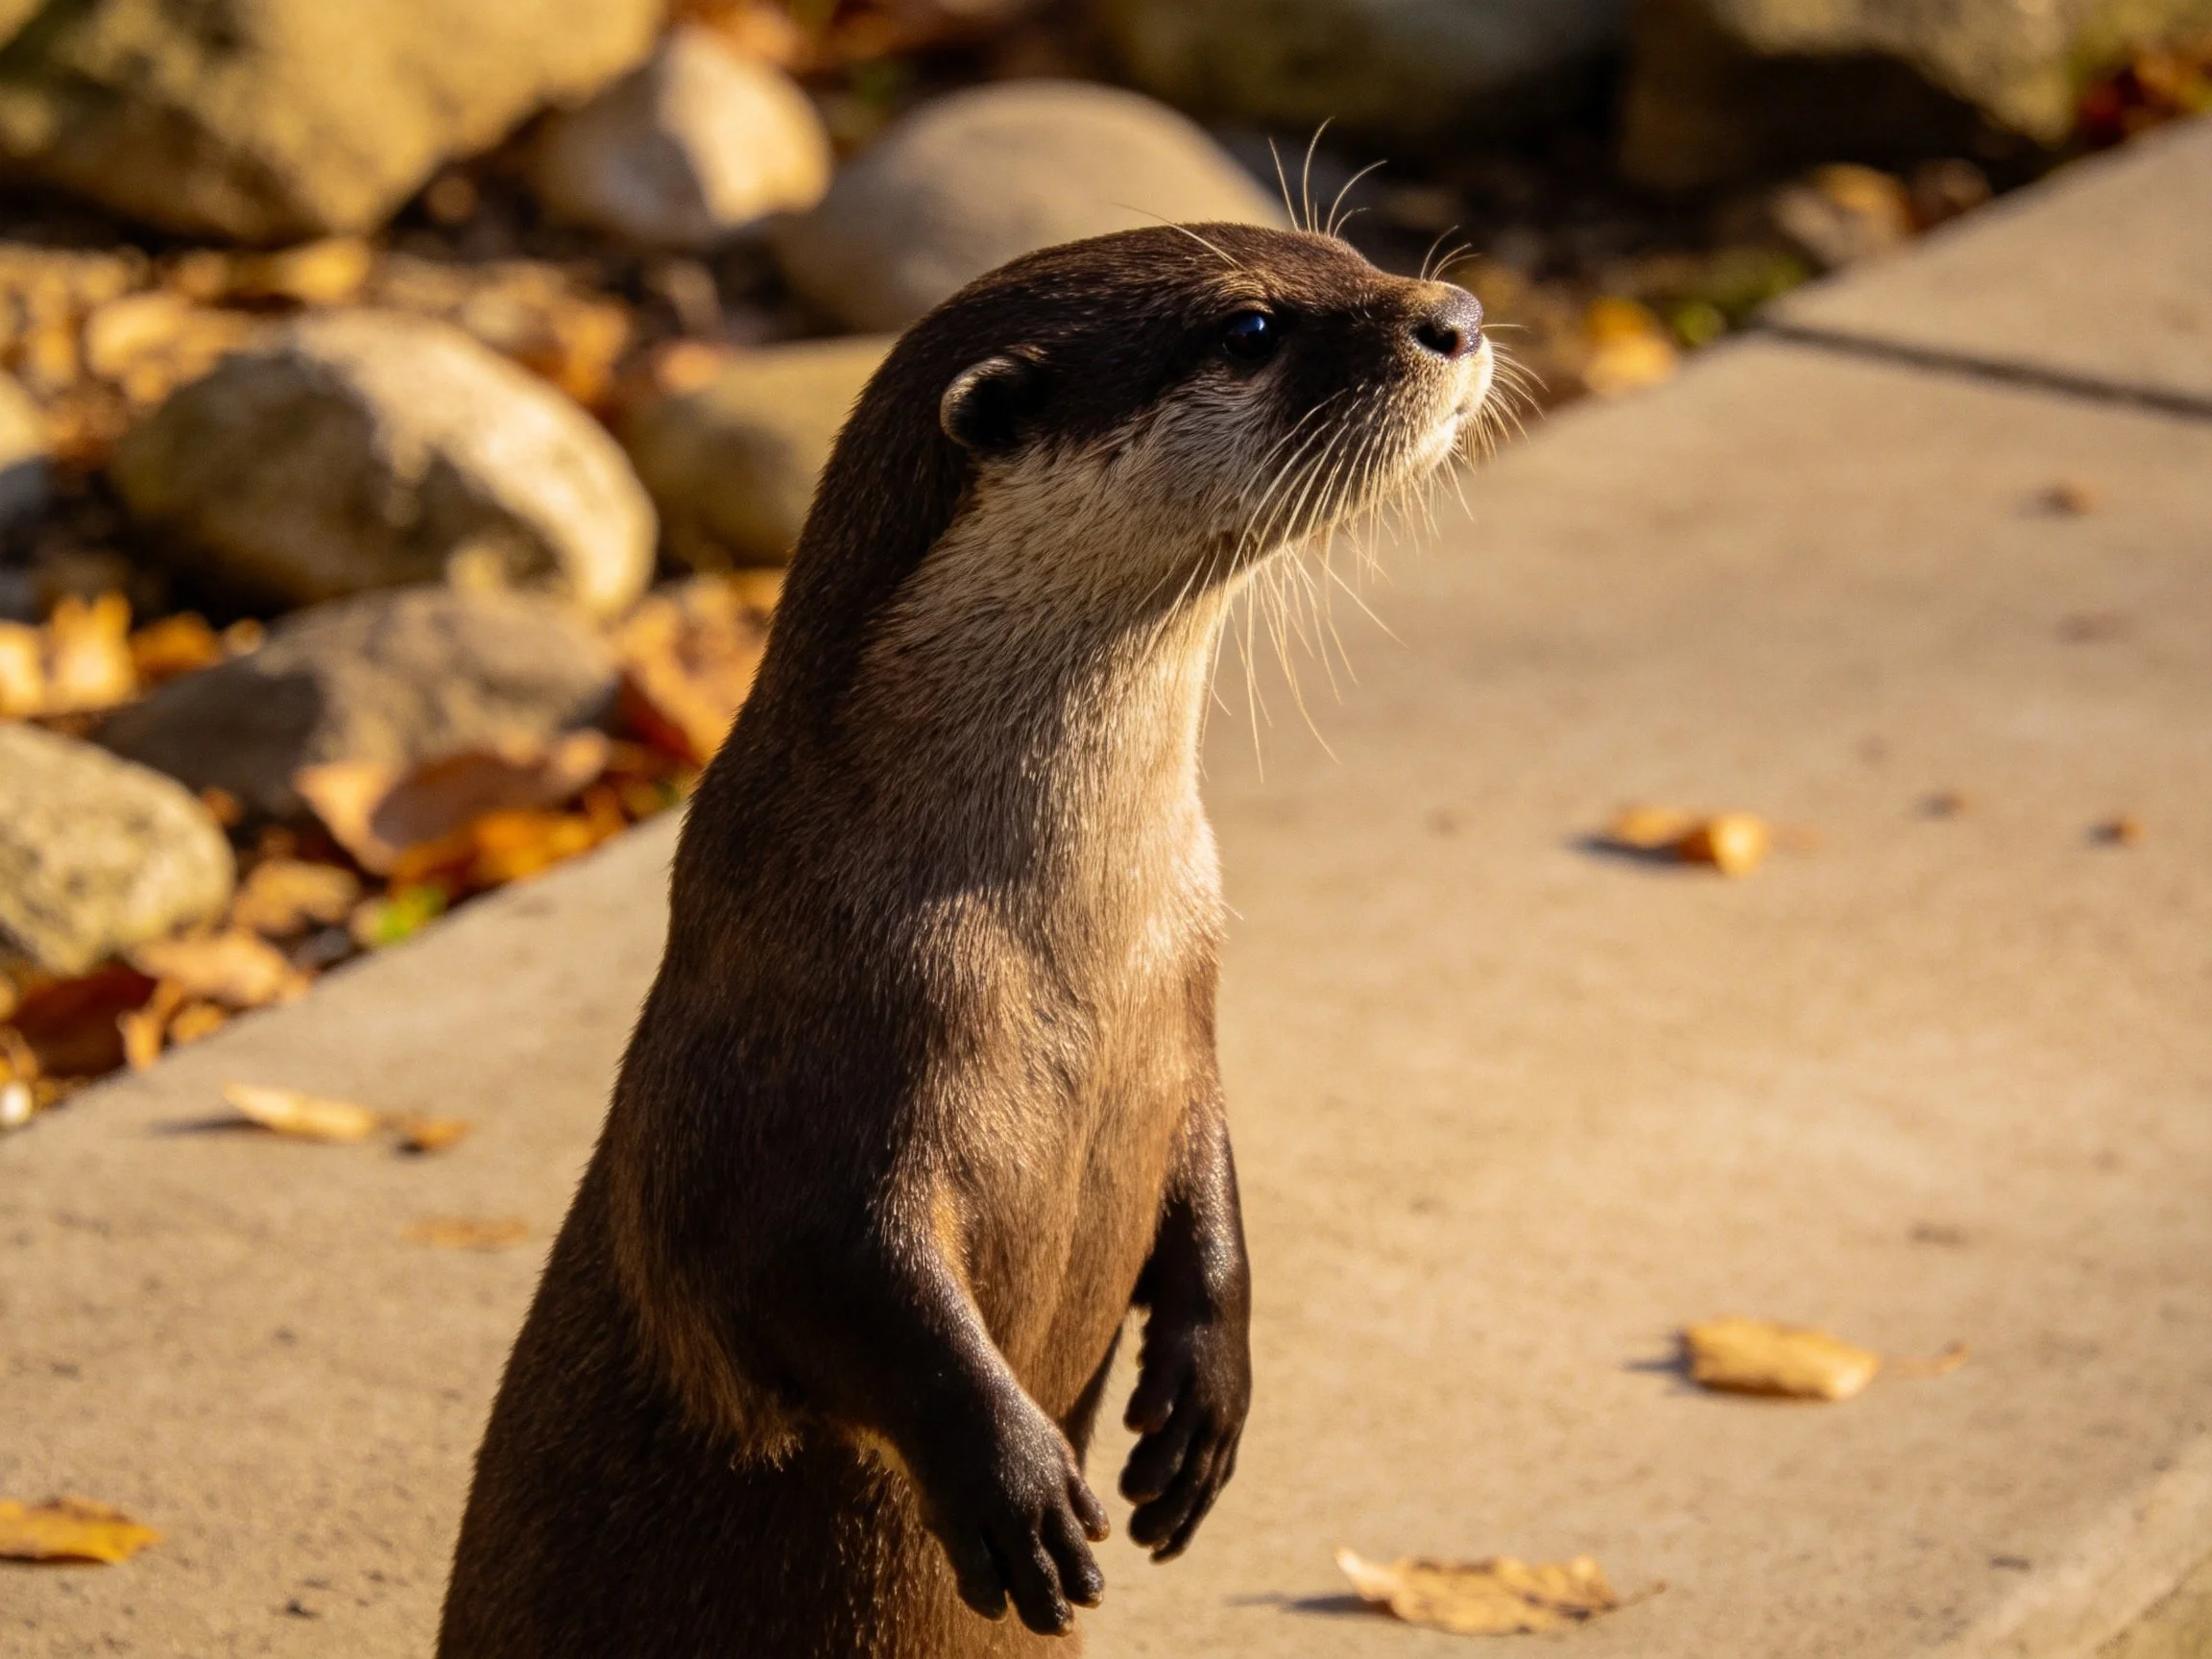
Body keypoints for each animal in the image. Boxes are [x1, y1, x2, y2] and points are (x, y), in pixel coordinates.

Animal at [439, 222, 1491, 1658]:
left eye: (1347, 248)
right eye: (1253, 329)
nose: (1458, 314)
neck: (1068, 939)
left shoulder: (1189, 1020)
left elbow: (1212, 1179)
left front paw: (1209, 1388)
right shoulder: (777, 1080)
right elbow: (808, 1269)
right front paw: (1011, 1476)